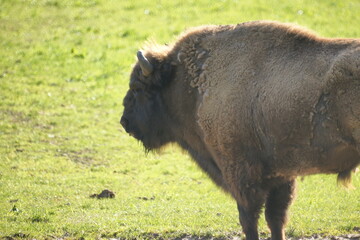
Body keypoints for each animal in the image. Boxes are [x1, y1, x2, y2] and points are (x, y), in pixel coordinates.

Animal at [121, 21, 360, 240]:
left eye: (137, 88)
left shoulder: (240, 172)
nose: (125, 122)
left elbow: (249, 218)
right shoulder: (280, 175)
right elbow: (275, 218)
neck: (191, 85)